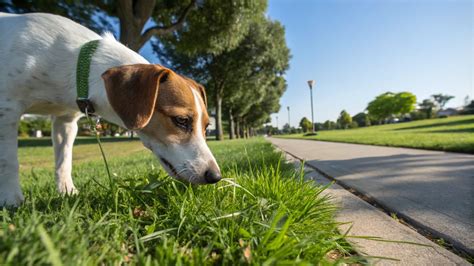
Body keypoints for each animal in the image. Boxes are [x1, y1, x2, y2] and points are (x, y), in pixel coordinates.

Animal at [0, 13, 222, 208]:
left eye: (207, 127)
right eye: (181, 120)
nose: (215, 176)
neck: (76, 64)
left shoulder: (66, 121)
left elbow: (64, 161)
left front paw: (67, 192)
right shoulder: (7, 109)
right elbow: (9, 162)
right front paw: (12, 200)